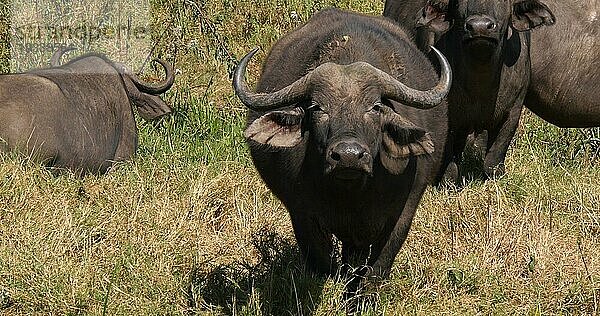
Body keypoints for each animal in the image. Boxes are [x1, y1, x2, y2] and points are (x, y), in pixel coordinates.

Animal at [232, 8, 452, 294]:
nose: (348, 155)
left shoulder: (402, 215)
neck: (351, 195)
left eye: (375, 107)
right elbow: (323, 265)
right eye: (317, 107)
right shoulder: (302, 216)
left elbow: (375, 271)